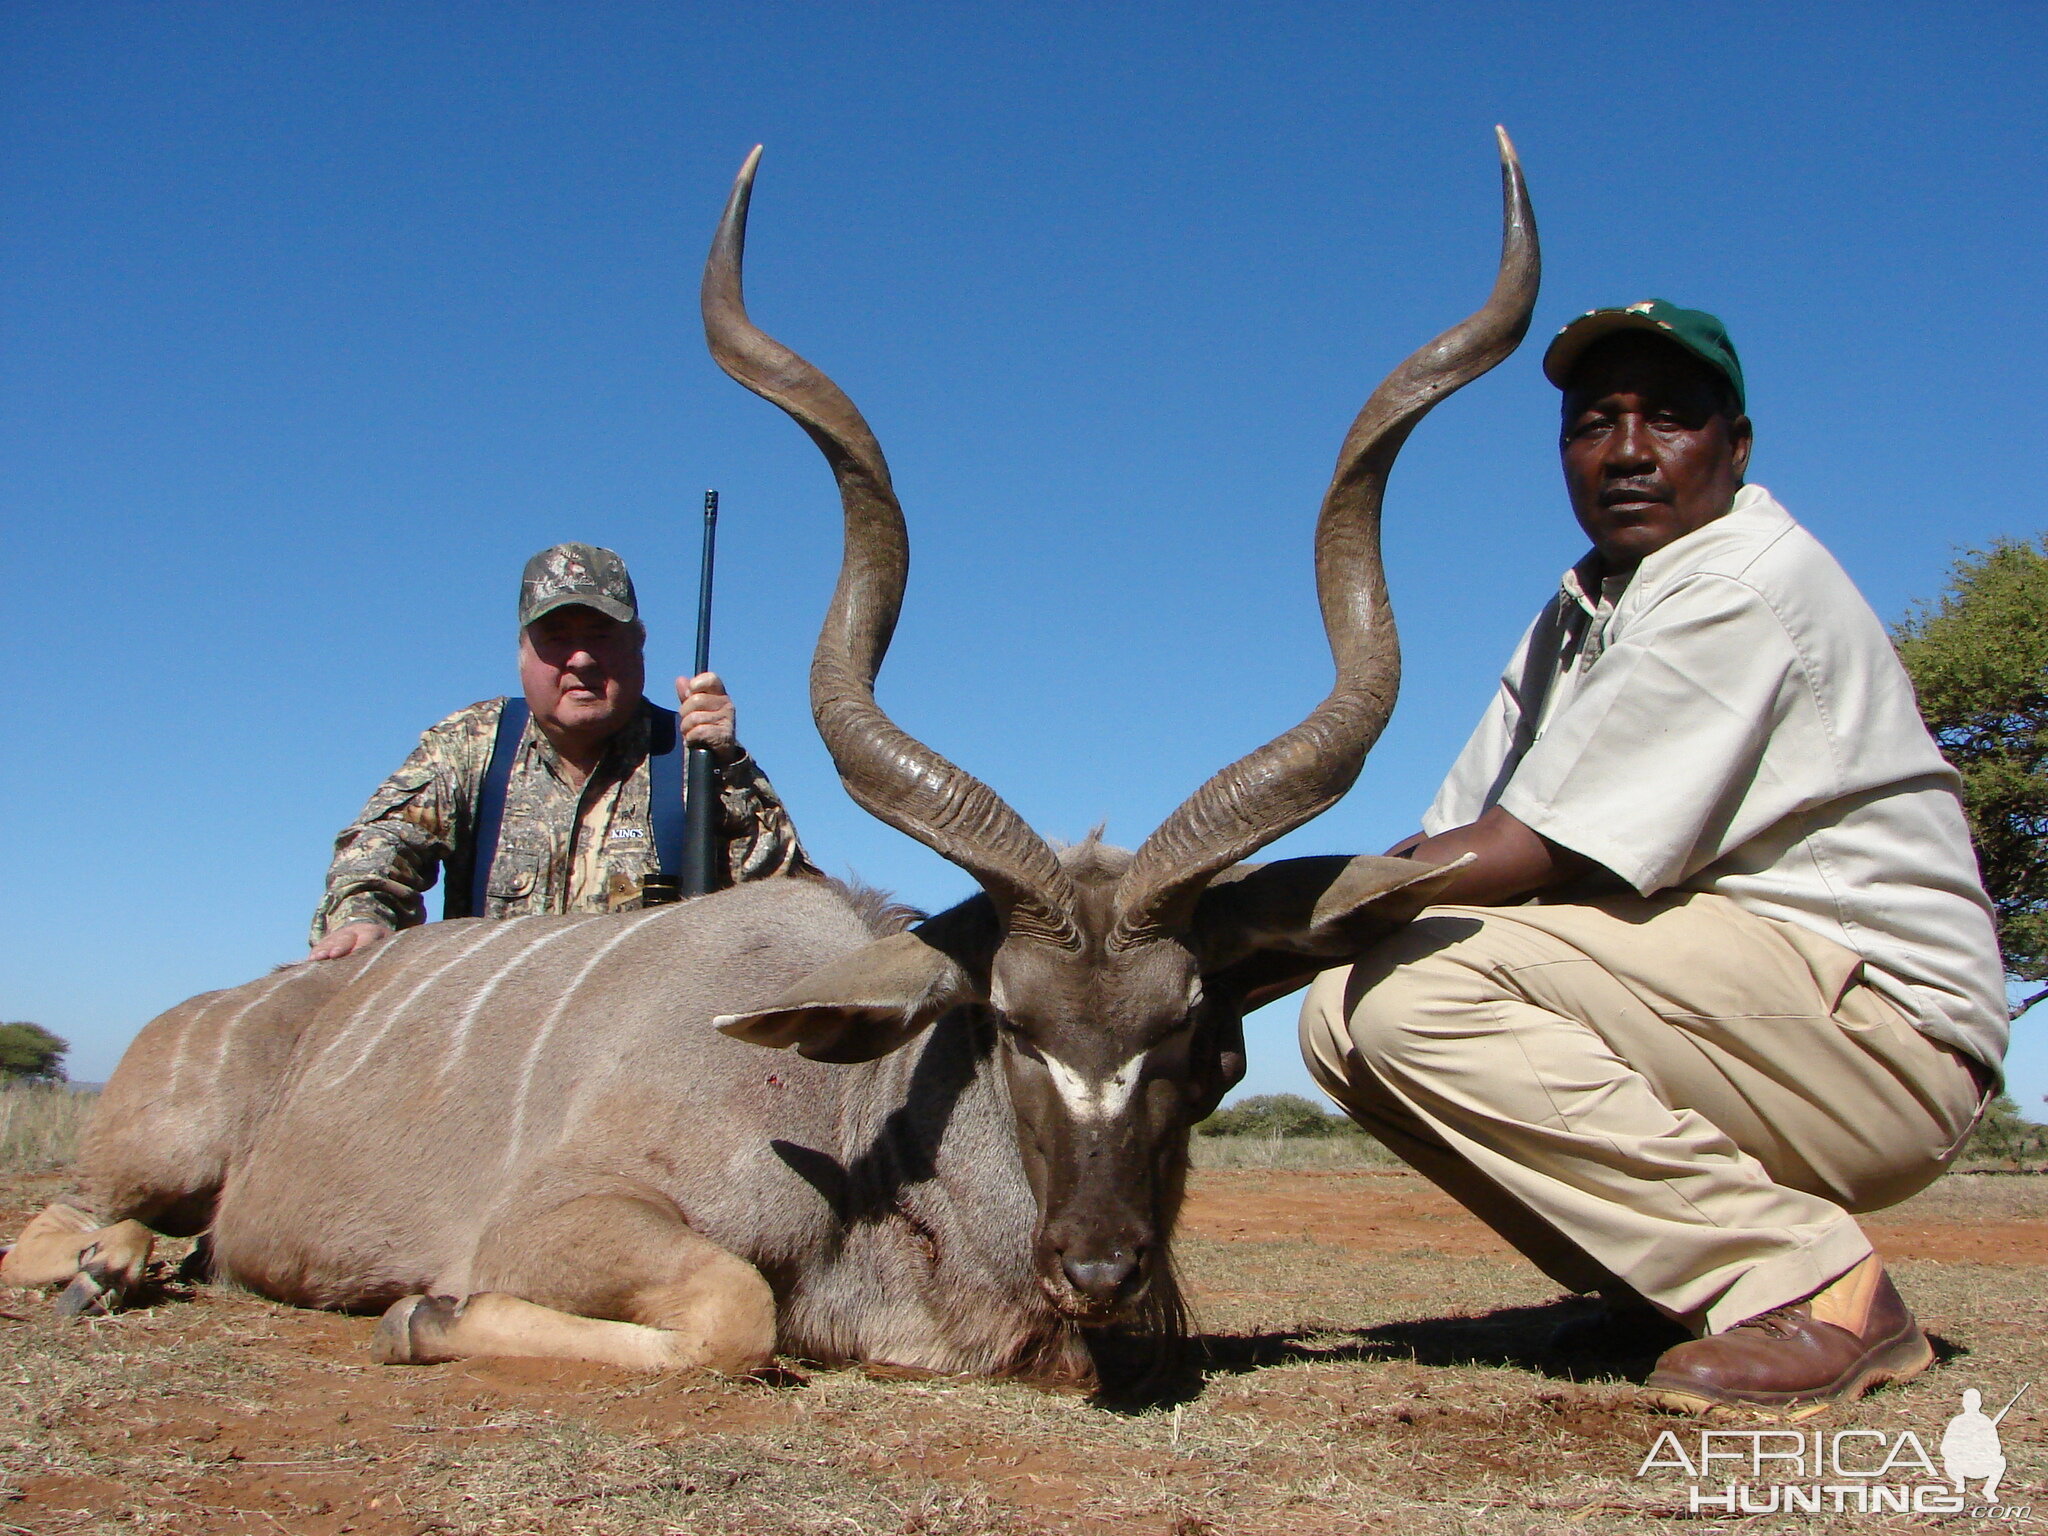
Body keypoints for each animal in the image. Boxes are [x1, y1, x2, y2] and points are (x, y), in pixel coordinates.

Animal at [0, 141, 1540, 1392]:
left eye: (1201, 1035)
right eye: (1006, 1022)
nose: (1101, 1270)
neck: (855, 1122)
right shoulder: (569, 1221)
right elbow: (733, 1315)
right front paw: (420, 1317)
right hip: (146, 1153)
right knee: (55, 1224)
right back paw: (104, 1270)